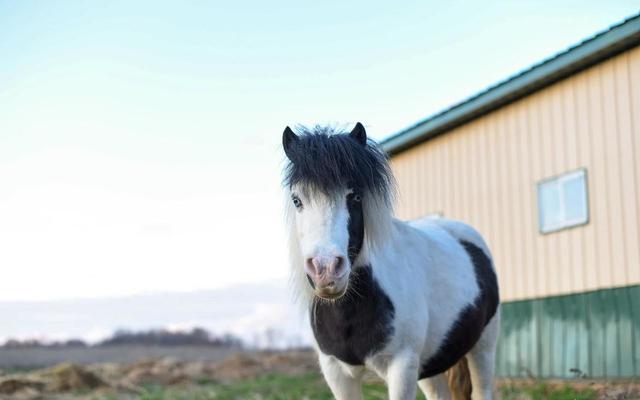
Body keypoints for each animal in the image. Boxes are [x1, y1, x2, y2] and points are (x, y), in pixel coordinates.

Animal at [282, 123, 502, 398]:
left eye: (355, 196)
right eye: (297, 200)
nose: (326, 270)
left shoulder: (402, 367)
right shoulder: (337, 373)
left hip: (483, 347)